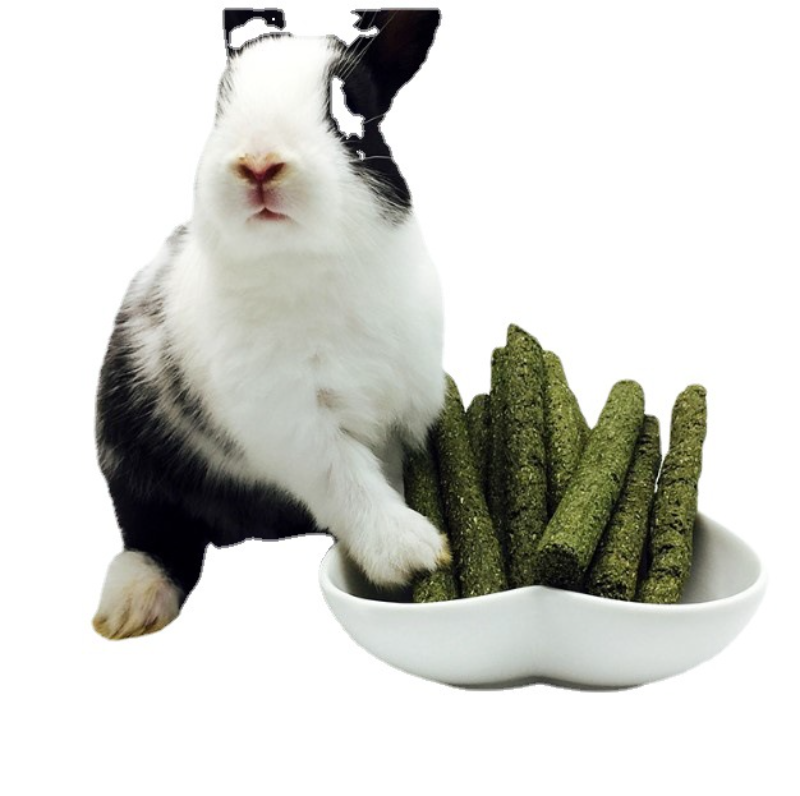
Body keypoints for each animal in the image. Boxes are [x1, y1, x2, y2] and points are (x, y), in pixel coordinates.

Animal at [92, 10, 448, 640]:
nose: (258, 163)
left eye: (347, 107)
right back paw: (132, 606)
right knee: (155, 535)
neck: (306, 266)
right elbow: (347, 479)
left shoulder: (408, 405)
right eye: (220, 107)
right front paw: (411, 554)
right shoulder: (292, 419)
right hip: (130, 457)